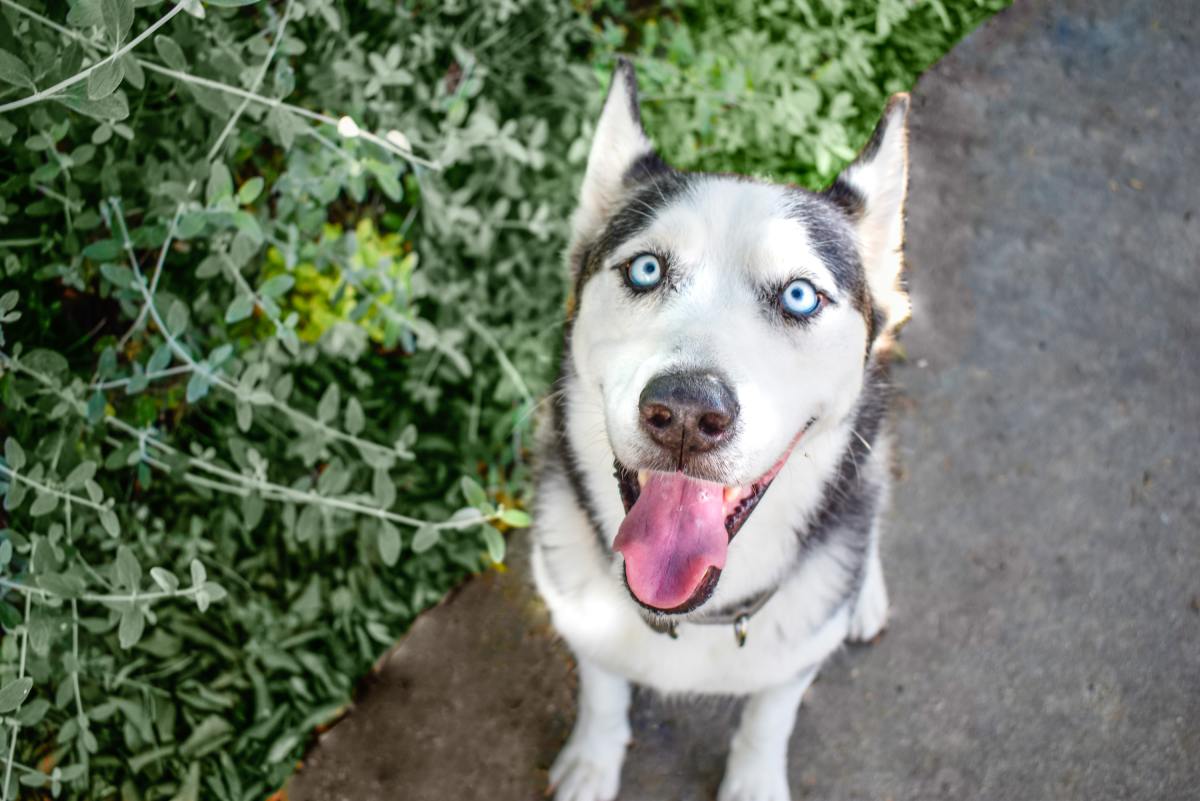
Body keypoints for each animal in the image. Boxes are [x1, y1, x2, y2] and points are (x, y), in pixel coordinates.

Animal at [535, 61, 907, 801]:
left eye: (800, 296)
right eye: (646, 268)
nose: (685, 413)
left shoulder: (790, 665)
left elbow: (769, 718)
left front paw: (754, 780)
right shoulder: (580, 619)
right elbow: (602, 689)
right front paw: (593, 759)